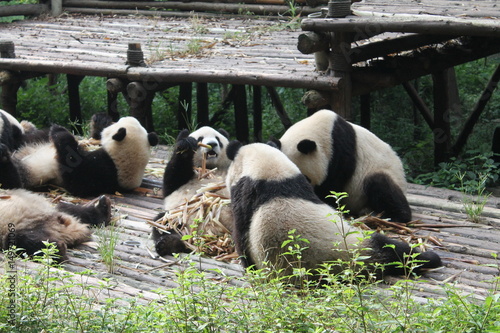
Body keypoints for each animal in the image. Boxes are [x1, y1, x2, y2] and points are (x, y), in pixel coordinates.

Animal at [152, 126, 232, 255]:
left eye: (217, 139)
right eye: (200, 139)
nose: (212, 144)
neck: (209, 168)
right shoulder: (179, 181)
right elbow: (172, 178)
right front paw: (186, 147)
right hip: (180, 217)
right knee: (162, 223)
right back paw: (169, 244)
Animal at [225, 141, 440, 278]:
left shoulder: (248, 193)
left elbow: (240, 233)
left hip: (360, 243)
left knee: (391, 249)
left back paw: (431, 258)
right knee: (391, 252)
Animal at [272, 109, 412, 223]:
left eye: (306, 178)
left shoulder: (340, 150)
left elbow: (334, 184)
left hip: (385, 175)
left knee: (380, 183)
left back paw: (396, 216)